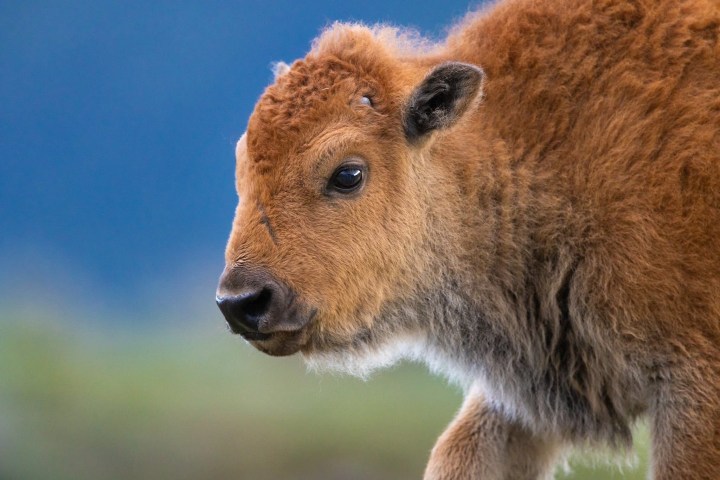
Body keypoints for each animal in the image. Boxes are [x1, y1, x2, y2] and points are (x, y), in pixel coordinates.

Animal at [215, 0, 720, 478]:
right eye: (240, 170)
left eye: (348, 174)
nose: (241, 302)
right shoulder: (531, 392)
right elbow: (459, 451)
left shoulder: (693, 383)